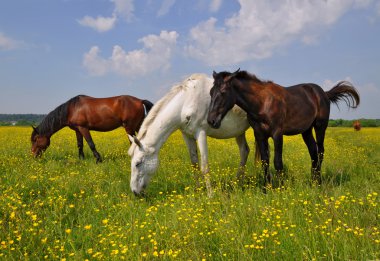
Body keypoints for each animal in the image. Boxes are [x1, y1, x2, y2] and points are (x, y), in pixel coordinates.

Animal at [208, 69, 360, 187]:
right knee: (313, 152)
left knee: (320, 151)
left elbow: (277, 162)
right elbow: (265, 161)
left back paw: (318, 182)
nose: (211, 120)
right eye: (210, 92)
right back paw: (312, 181)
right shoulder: (259, 134)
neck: (262, 102)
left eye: (223, 91)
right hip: (306, 131)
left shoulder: (277, 134)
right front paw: (267, 188)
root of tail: (324, 93)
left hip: (320, 126)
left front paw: (280, 189)